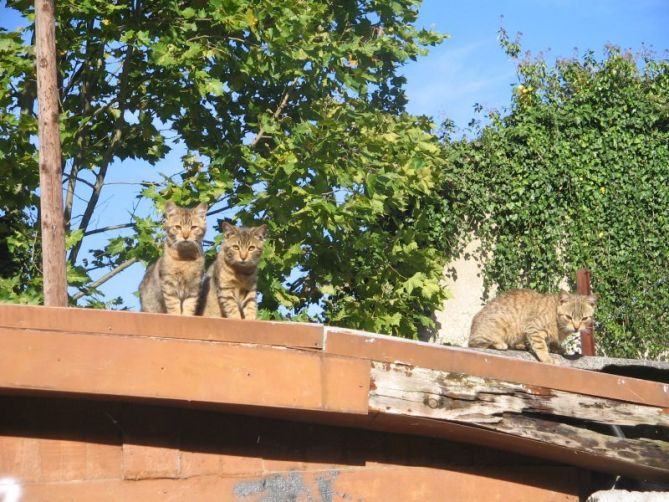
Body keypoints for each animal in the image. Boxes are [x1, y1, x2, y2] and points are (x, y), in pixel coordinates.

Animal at [468, 288, 596, 362]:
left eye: (584, 318)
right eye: (568, 317)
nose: (576, 327)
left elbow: (554, 342)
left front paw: (557, 348)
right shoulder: (534, 328)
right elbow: (540, 346)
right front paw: (547, 358)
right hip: (500, 323)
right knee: (476, 343)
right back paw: (500, 344)